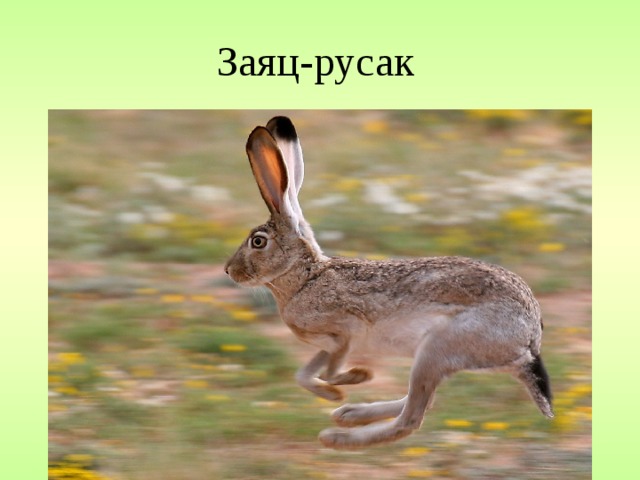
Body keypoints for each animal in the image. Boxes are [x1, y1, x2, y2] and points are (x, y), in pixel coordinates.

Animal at [224, 116, 554, 450]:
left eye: (258, 241)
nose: (228, 270)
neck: (306, 278)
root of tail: (529, 339)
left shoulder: (345, 331)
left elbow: (330, 370)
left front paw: (356, 378)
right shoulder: (326, 344)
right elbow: (303, 374)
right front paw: (334, 394)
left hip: (436, 350)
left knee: (412, 418)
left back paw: (338, 436)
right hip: (436, 357)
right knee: (422, 403)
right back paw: (349, 413)